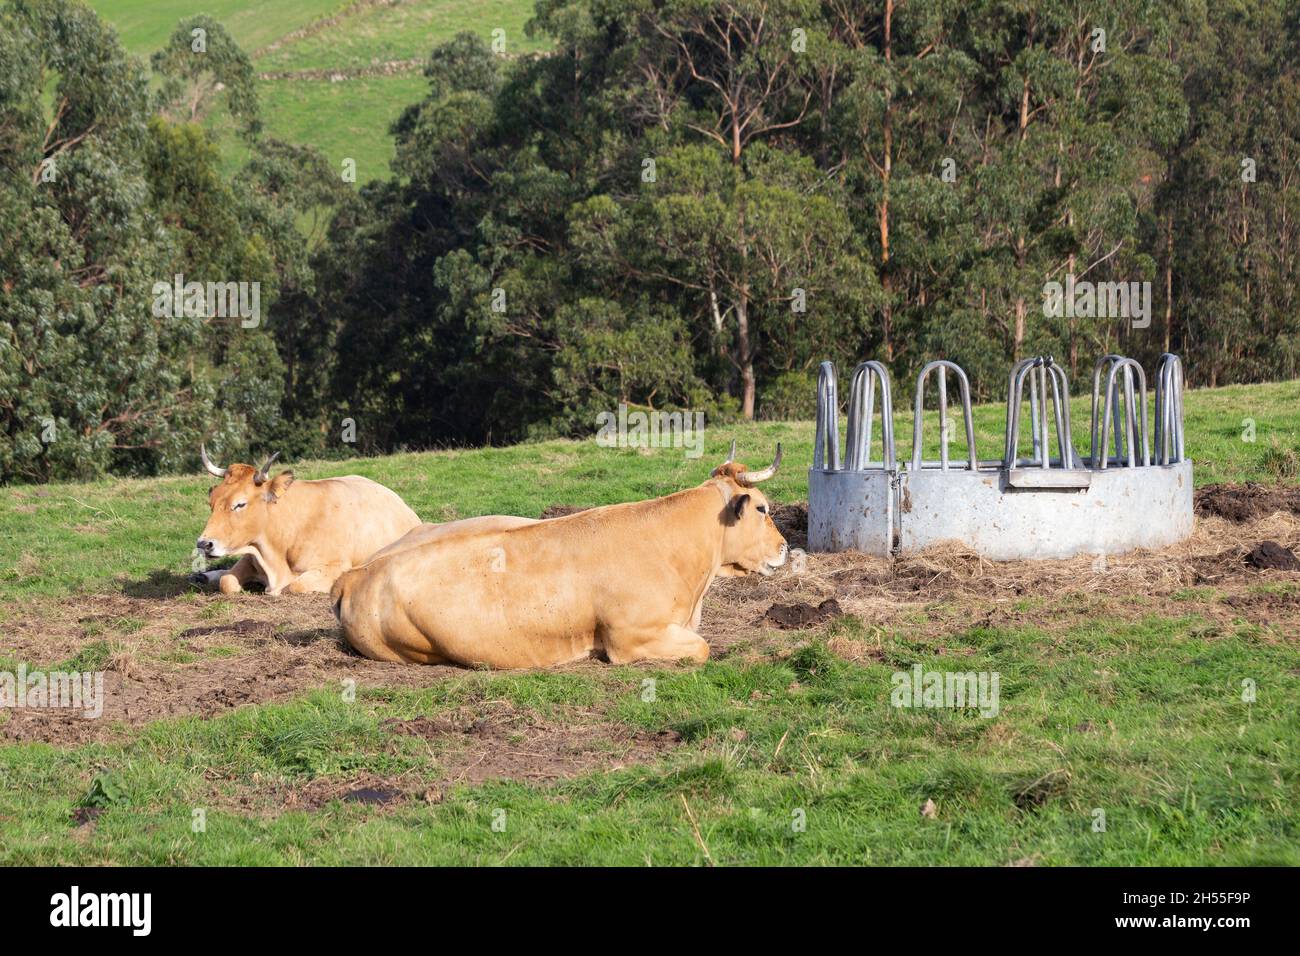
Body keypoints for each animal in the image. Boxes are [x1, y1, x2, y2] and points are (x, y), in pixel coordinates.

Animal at [192, 445, 422, 595]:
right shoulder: (250, 557)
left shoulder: (334, 565)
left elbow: (295, 586)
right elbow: (227, 582)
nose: (204, 544)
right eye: (212, 502)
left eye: (240, 504)